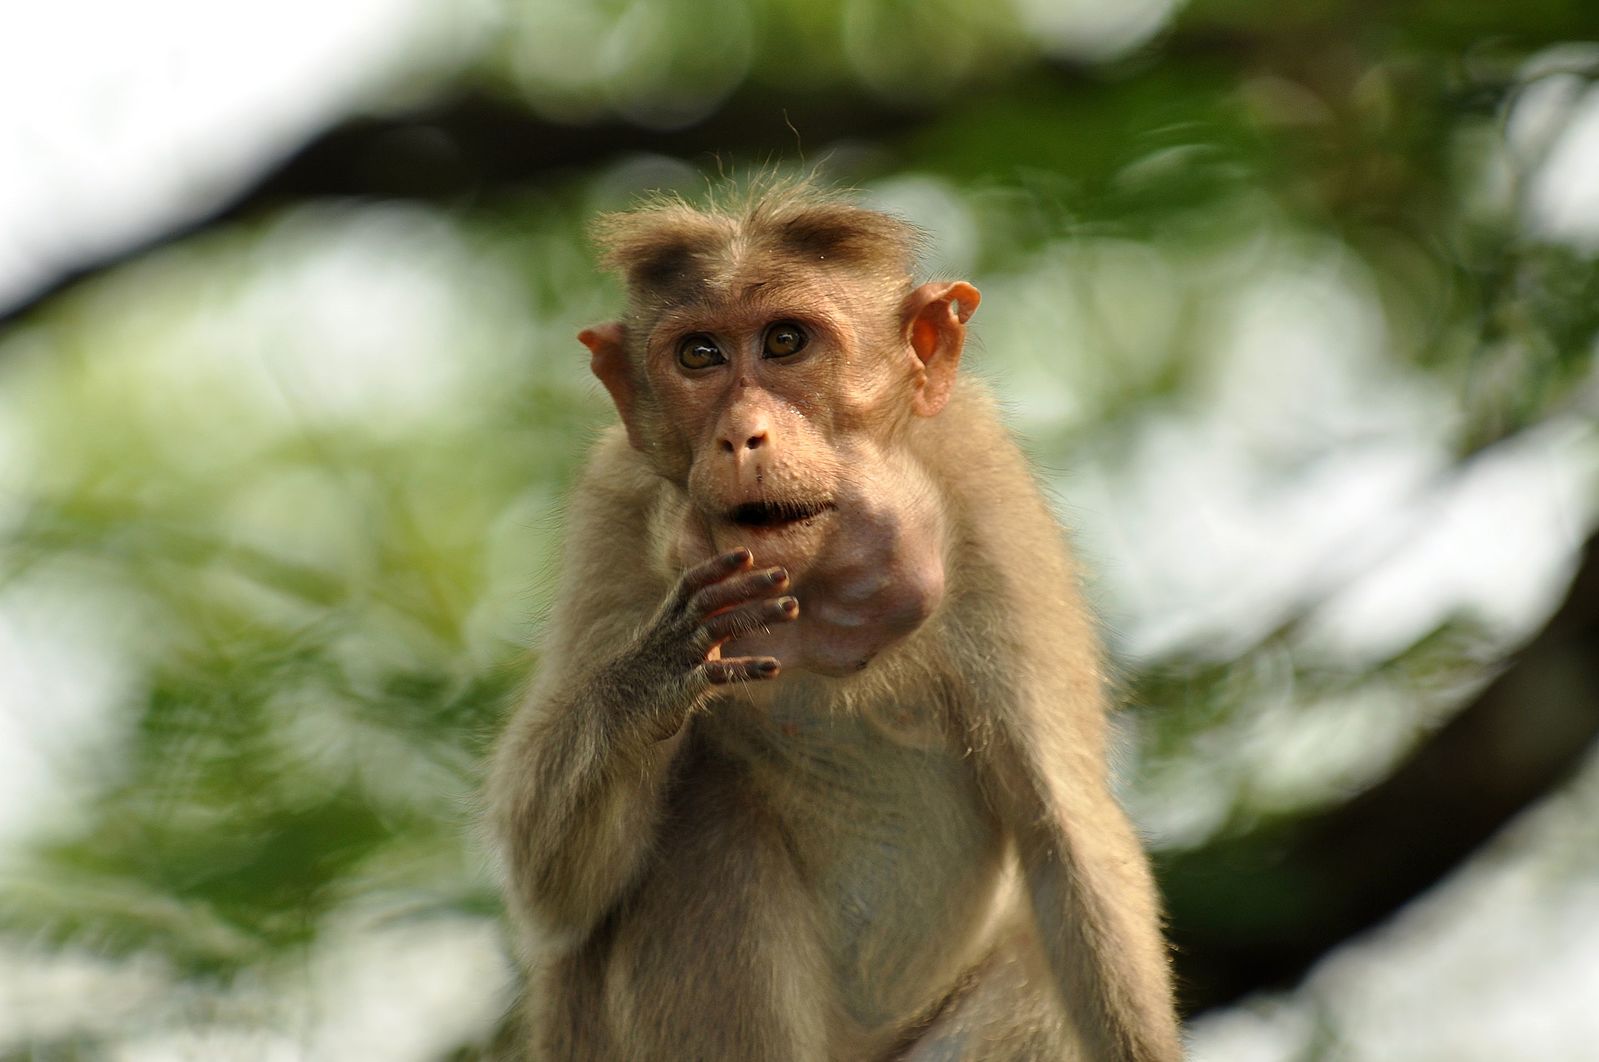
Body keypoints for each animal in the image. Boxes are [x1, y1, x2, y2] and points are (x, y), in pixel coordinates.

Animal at [479, 182, 1183, 1062]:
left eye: (785, 342)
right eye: (699, 355)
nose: (740, 434)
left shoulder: (985, 487)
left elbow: (1065, 833)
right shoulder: (616, 506)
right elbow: (552, 887)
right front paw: (656, 675)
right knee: (705, 825)